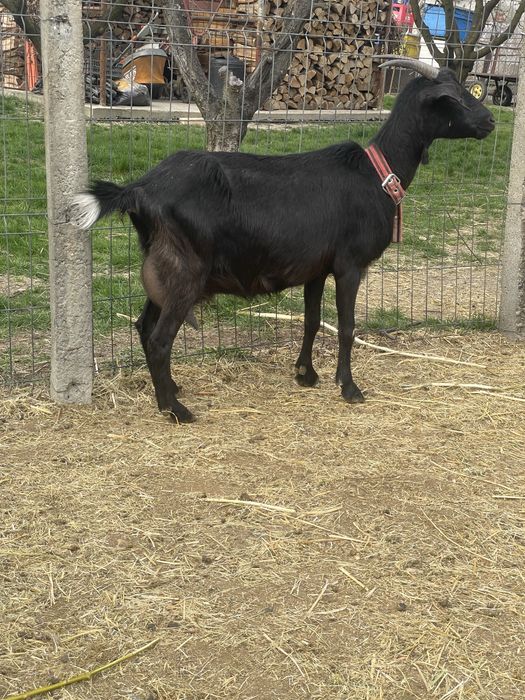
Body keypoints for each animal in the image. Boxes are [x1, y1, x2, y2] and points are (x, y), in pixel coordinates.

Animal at [70, 58, 495, 423]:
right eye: (454, 97)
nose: (490, 121)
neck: (377, 174)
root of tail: (139, 189)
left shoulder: (317, 268)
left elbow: (312, 321)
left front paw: (306, 374)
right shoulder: (350, 264)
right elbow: (347, 326)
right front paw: (349, 387)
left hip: (162, 265)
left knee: (143, 326)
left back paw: (173, 390)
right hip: (186, 270)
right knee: (159, 339)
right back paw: (175, 410)